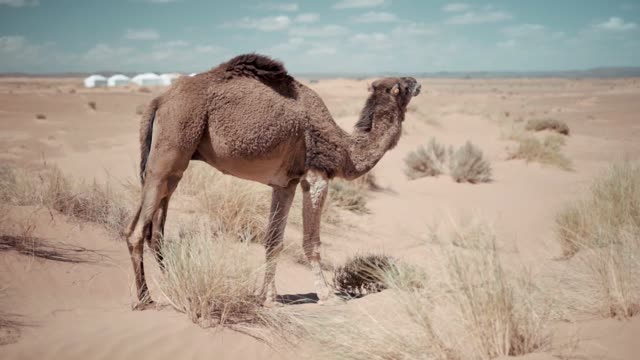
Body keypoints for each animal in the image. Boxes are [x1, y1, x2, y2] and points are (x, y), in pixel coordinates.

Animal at [125, 53, 422, 310]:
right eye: (403, 85)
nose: (418, 82)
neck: (345, 149)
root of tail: (159, 100)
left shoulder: (285, 183)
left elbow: (273, 241)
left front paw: (268, 298)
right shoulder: (316, 176)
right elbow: (311, 242)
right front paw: (327, 295)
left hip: (169, 163)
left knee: (154, 230)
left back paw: (171, 284)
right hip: (174, 141)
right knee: (137, 232)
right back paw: (145, 299)